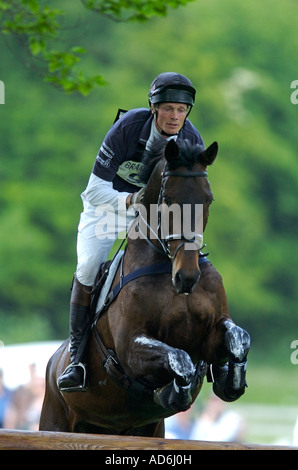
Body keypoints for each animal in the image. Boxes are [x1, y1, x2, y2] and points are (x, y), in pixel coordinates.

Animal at [39, 140, 249, 436]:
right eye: (168, 200)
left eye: (208, 200)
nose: (187, 277)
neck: (165, 266)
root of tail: (52, 364)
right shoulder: (131, 349)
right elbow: (179, 359)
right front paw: (174, 393)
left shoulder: (214, 330)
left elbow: (239, 338)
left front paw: (230, 379)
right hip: (55, 418)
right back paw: (73, 373)